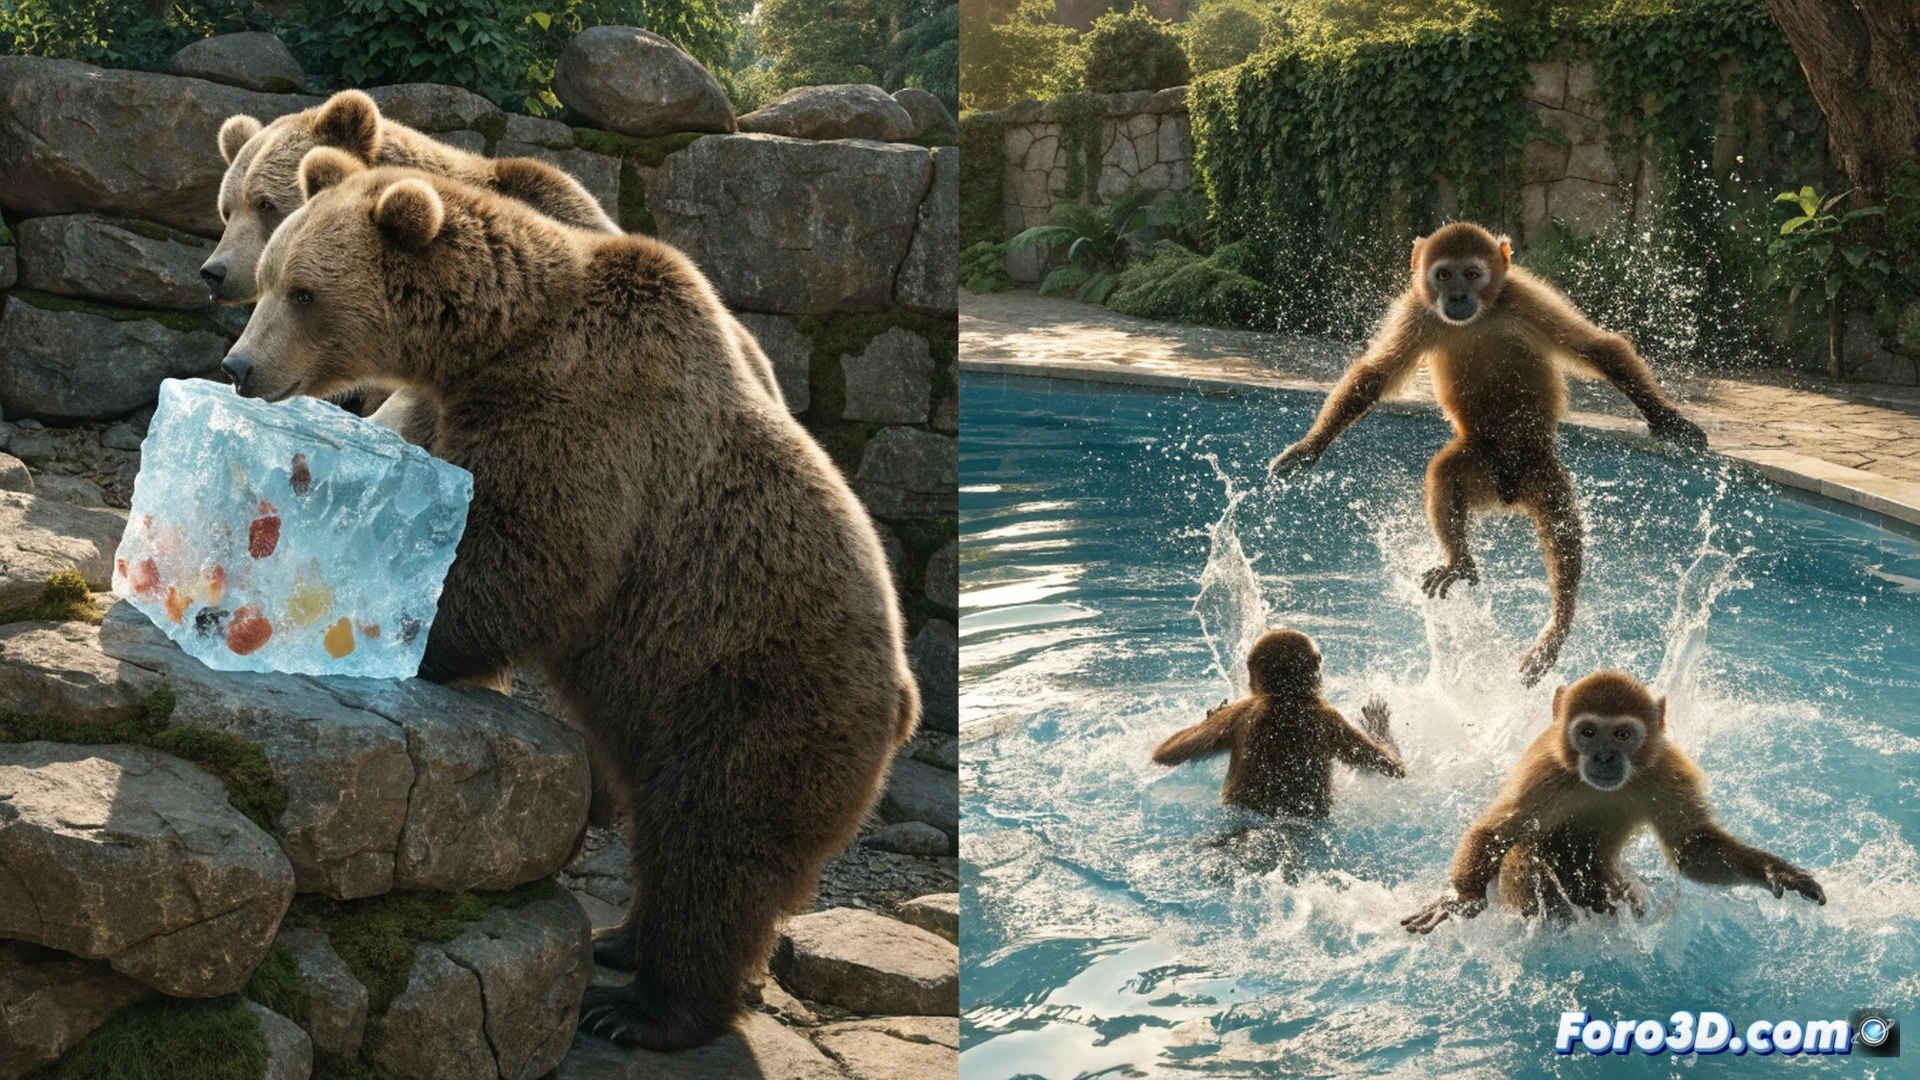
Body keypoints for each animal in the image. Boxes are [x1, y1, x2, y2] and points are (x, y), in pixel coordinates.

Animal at [224, 151, 920, 1051]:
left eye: (304, 293)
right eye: (268, 280)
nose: (240, 367)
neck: (493, 342)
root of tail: (902, 701)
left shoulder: (586, 413)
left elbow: (534, 554)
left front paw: (405, 634)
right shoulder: (454, 407)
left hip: (756, 687)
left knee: (716, 844)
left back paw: (643, 1005)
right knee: (662, 825)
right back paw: (624, 938)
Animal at [1151, 629, 1405, 818]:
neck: (1285, 698)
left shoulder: (1241, 709)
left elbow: (1167, 753)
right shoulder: (1331, 716)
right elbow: (1393, 767)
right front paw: (1378, 724)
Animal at [1268, 223, 1708, 684]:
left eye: (1472, 274)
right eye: (1444, 275)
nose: (1458, 296)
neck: (1480, 317)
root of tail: (1508, 489)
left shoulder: (1521, 295)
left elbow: (1598, 349)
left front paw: (1667, 418)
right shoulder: (1419, 311)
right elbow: (1375, 376)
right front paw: (1310, 447)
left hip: (1538, 464)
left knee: (1560, 519)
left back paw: (1559, 622)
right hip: (1481, 460)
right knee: (1444, 472)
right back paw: (1461, 560)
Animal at [1402, 669, 1824, 933]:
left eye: (1622, 734)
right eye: (1588, 733)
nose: (1604, 757)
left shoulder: (1666, 768)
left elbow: (1692, 848)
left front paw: (1774, 871)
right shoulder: (1546, 769)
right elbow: (1495, 832)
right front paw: (1462, 897)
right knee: (1524, 852)